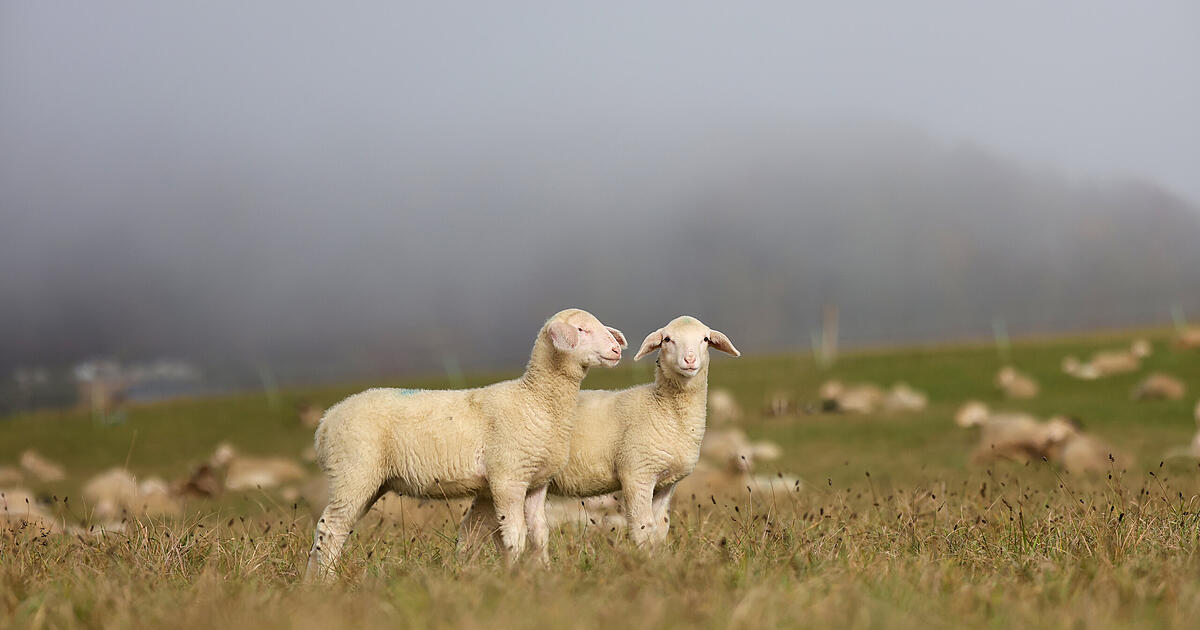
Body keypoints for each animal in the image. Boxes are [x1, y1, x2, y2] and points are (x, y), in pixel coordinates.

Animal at [306, 308, 625, 577]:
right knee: (331, 528)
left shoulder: (536, 482)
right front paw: (513, 575)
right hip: (353, 472)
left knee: (329, 530)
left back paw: (312, 582)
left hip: (368, 482)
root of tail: (325, 422)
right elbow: (514, 535)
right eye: (581, 329)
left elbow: (539, 534)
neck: (535, 400)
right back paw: (327, 579)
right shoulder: (508, 478)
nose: (616, 350)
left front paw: (542, 573)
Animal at [461, 315, 740, 550]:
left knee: (471, 529)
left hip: (492, 486)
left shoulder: (666, 483)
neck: (664, 408)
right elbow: (642, 528)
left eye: (705, 339)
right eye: (667, 340)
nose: (690, 360)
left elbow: (660, 529)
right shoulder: (636, 473)